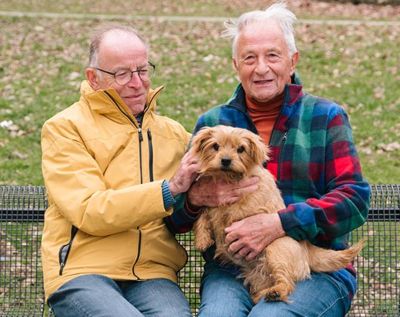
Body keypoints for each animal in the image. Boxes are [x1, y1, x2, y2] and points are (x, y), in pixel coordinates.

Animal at [192, 124, 364, 302]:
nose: (226, 160)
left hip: (275, 252)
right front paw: (202, 239)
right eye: (215, 146)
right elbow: (204, 214)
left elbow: (230, 215)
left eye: (241, 149)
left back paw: (276, 292)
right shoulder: (211, 199)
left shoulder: (245, 207)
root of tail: (307, 250)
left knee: (286, 281)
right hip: (259, 274)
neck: (227, 178)